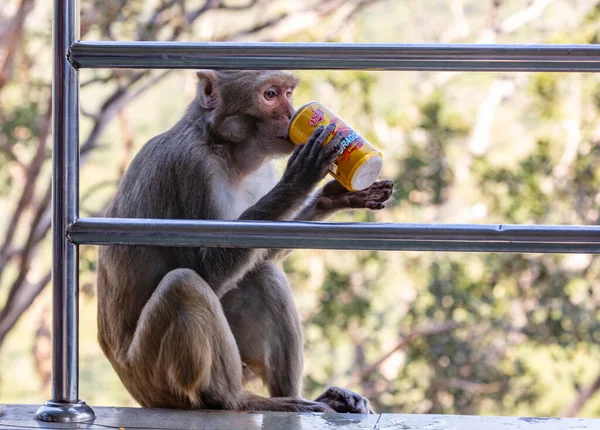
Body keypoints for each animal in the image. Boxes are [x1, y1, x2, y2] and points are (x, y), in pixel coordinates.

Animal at [98, 69, 394, 414]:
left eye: (288, 93)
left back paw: (304, 397)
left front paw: (336, 195)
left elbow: (261, 251)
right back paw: (236, 400)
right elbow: (204, 269)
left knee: (260, 274)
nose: (292, 115)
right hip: (154, 375)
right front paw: (300, 178)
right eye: (270, 95)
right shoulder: (193, 168)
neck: (225, 149)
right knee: (184, 284)